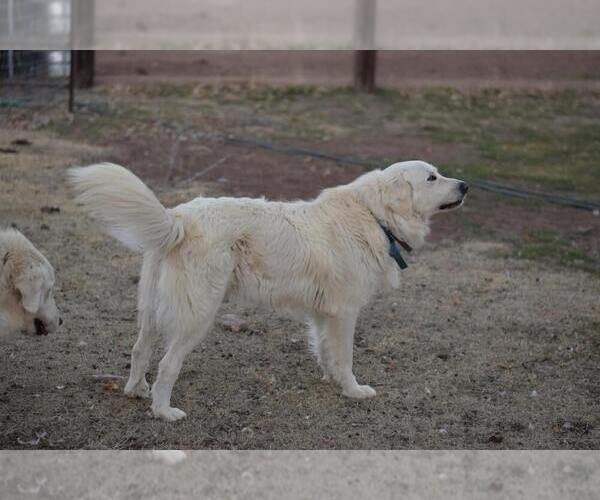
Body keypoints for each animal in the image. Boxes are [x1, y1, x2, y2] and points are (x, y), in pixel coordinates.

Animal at [68, 158, 466, 420]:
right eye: (432, 177)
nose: (465, 185)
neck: (375, 215)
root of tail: (179, 218)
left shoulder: (324, 313)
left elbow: (325, 350)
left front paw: (331, 379)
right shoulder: (345, 312)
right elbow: (345, 356)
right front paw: (353, 390)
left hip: (152, 308)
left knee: (139, 350)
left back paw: (136, 390)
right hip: (198, 314)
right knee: (167, 364)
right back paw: (164, 411)